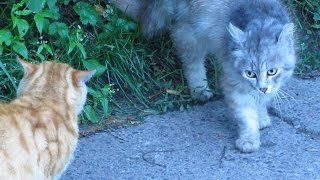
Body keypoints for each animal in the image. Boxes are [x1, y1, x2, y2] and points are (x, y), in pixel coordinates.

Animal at [111, 0, 296, 152]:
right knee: (192, 64)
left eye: (272, 71)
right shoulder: (233, 81)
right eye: (249, 73)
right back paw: (200, 91)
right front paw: (249, 138)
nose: (262, 87)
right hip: (190, 33)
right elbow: (246, 115)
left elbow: (262, 101)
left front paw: (262, 116)